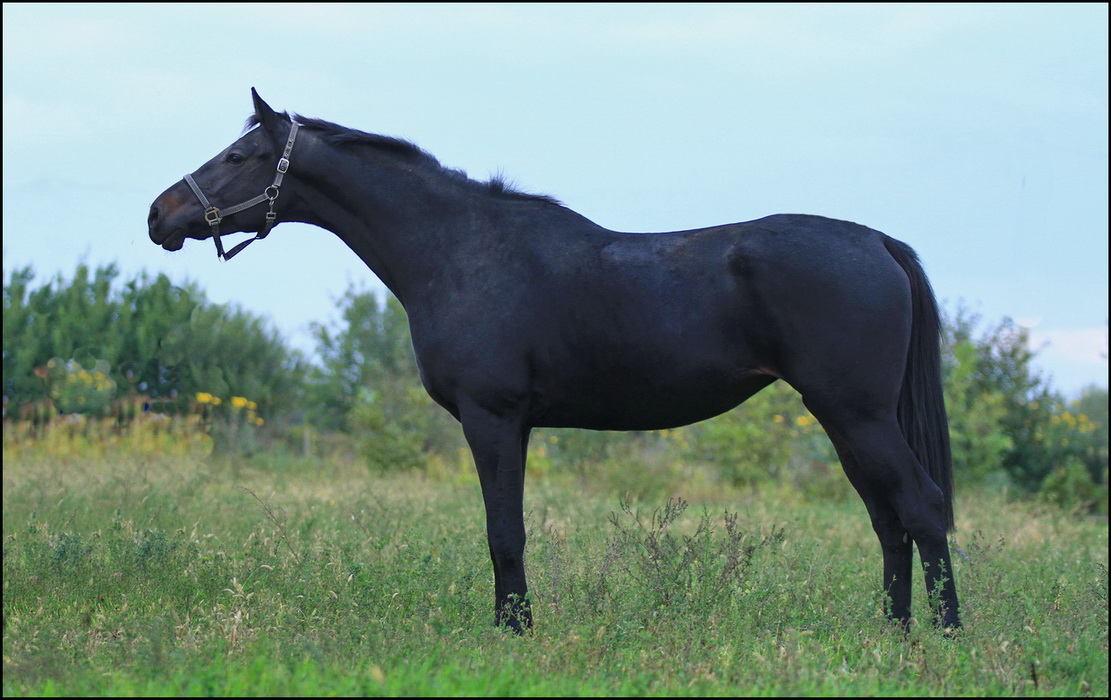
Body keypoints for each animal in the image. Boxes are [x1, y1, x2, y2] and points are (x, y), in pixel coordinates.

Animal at [149, 90, 964, 635]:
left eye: (240, 156)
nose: (159, 214)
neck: (460, 251)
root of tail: (877, 242)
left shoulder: (493, 419)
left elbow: (503, 532)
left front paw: (515, 631)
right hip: (845, 418)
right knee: (888, 520)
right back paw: (892, 636)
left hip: (855, 413)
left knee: (920, 508)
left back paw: (947, 638)